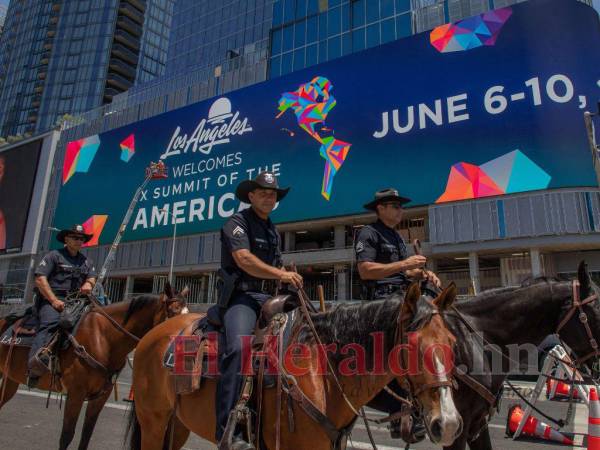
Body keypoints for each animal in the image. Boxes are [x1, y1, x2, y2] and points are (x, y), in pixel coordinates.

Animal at [0, 284, 188, 450]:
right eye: (174, 312)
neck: (104, 338)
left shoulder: (101, 396)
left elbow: (86, 435)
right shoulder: (75, 393)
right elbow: (66, 436)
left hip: (10, 379)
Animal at [127, 284, 464, 450]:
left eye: (452, 340)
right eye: (411, 346)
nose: (447, 423)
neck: (323, 372)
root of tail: (150, 337)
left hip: (177, 424)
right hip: (153, 421)